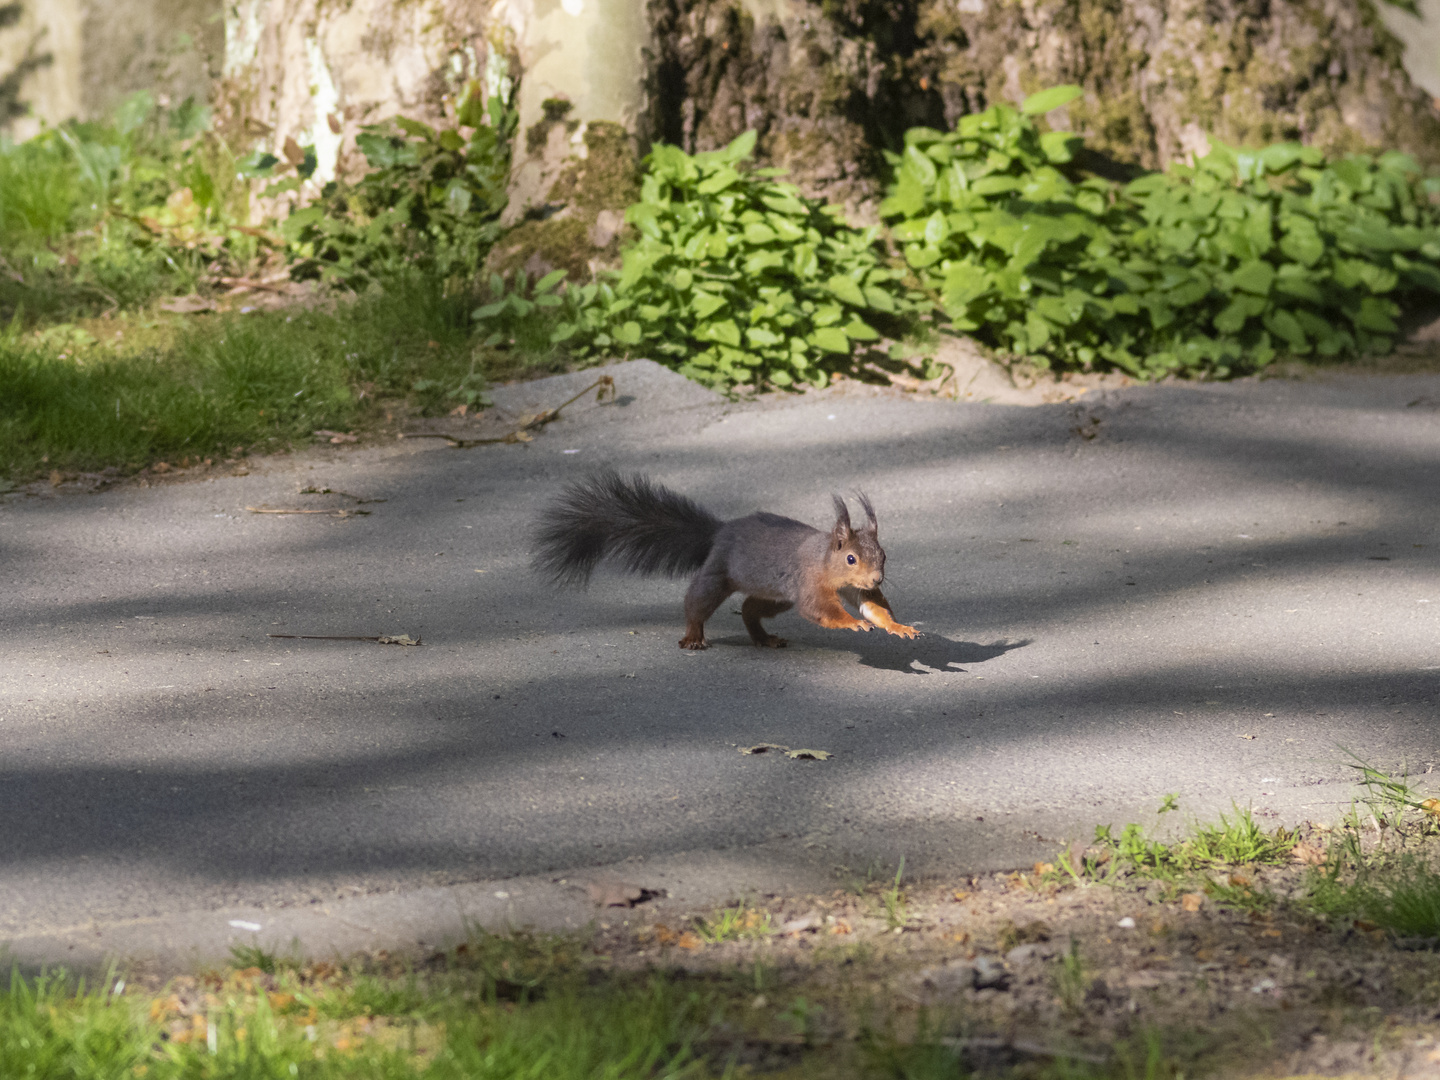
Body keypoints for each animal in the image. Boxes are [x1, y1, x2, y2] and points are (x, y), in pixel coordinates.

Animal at [535, 472, 915, 650]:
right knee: (697, 602)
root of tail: (720, 531)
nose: (877, 579)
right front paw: (851, 623)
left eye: (883, 555)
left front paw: (898, 626)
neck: (826, 562)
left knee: (749, 608)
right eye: (850, 557)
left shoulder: (856, 590)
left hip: (776, 595)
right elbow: (821, 610)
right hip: (717, 576)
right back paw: (693, 636)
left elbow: (873, 608)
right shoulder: (809, 582)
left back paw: (764, 638)